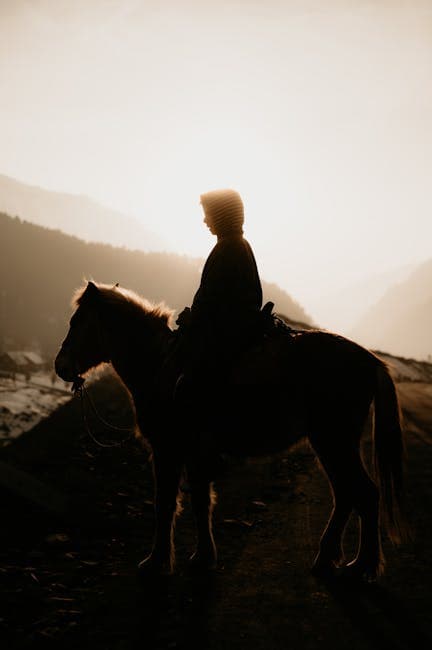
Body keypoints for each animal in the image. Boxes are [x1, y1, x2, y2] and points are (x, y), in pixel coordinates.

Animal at [54, 278, 408, 576]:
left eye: (76, 322)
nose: (61, 366)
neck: (160, 366)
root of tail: (370, 360)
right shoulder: (193, 453)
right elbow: (200, 502)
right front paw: (202, 556)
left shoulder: (168, 449)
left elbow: (166, 504)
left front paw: (156, 561)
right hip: (329, 443)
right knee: (348, 494)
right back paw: (329, 559)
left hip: (334, 441)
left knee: (364, 493)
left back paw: (362, 565)